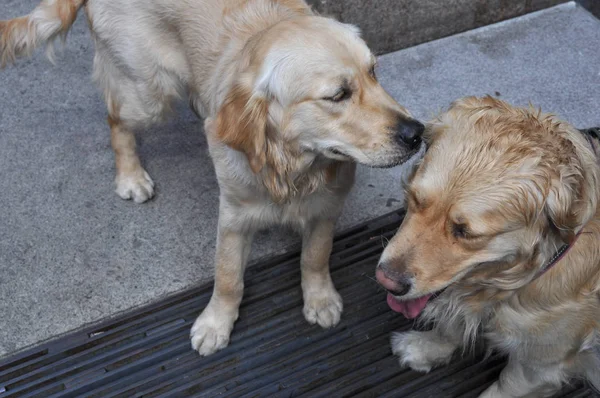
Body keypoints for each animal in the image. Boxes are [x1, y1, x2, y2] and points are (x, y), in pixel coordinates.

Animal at [0, 0, 424, 354]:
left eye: (374, 71)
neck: (291, 166)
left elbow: (315, 257)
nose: (416, 133)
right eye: (338, 95)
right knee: (116, 119)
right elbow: (228, 277)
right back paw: (130, 176)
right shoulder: (234, 217)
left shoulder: (326, 207)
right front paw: (216, 323)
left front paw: (319, 299)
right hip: (150, 93)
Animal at [378, 97, 596, 398]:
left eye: (466, 232)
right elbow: (450, 326)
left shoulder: (539, 367)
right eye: (415, 199)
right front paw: (425, 349)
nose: (386, 280)